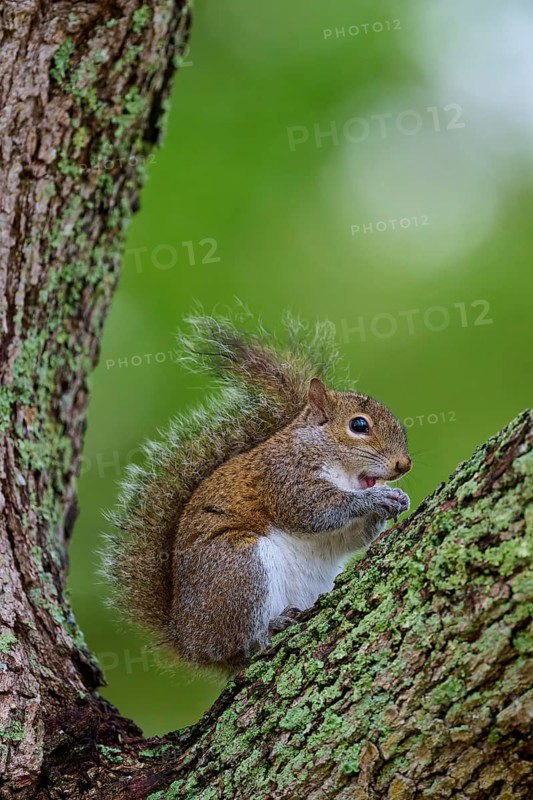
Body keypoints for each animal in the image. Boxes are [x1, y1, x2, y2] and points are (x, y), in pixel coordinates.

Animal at [105, 310, 411, 672]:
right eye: (359, 425)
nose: (404, 465)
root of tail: (187, 637)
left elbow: (349, 538)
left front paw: (396, 500)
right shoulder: (284, 478)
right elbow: (316, 510)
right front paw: (376, 499)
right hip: (239, 568)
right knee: (240, 645)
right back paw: (271, 627)